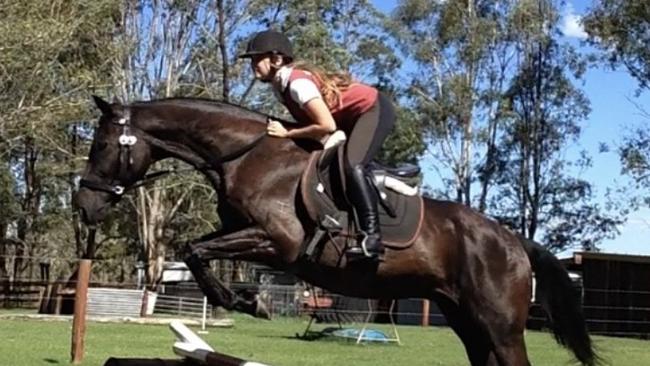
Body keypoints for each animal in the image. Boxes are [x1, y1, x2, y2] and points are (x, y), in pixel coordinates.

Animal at [73, 96, 596, 364]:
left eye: (101, 145)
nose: (83, 205)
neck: (247, 154)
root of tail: (513, 240)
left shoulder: (278, 243)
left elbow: (195, 251)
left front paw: (248, 303)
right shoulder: (245, 234)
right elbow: (197, 250)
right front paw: (245, 300)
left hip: (501, 327)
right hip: (466, 321)